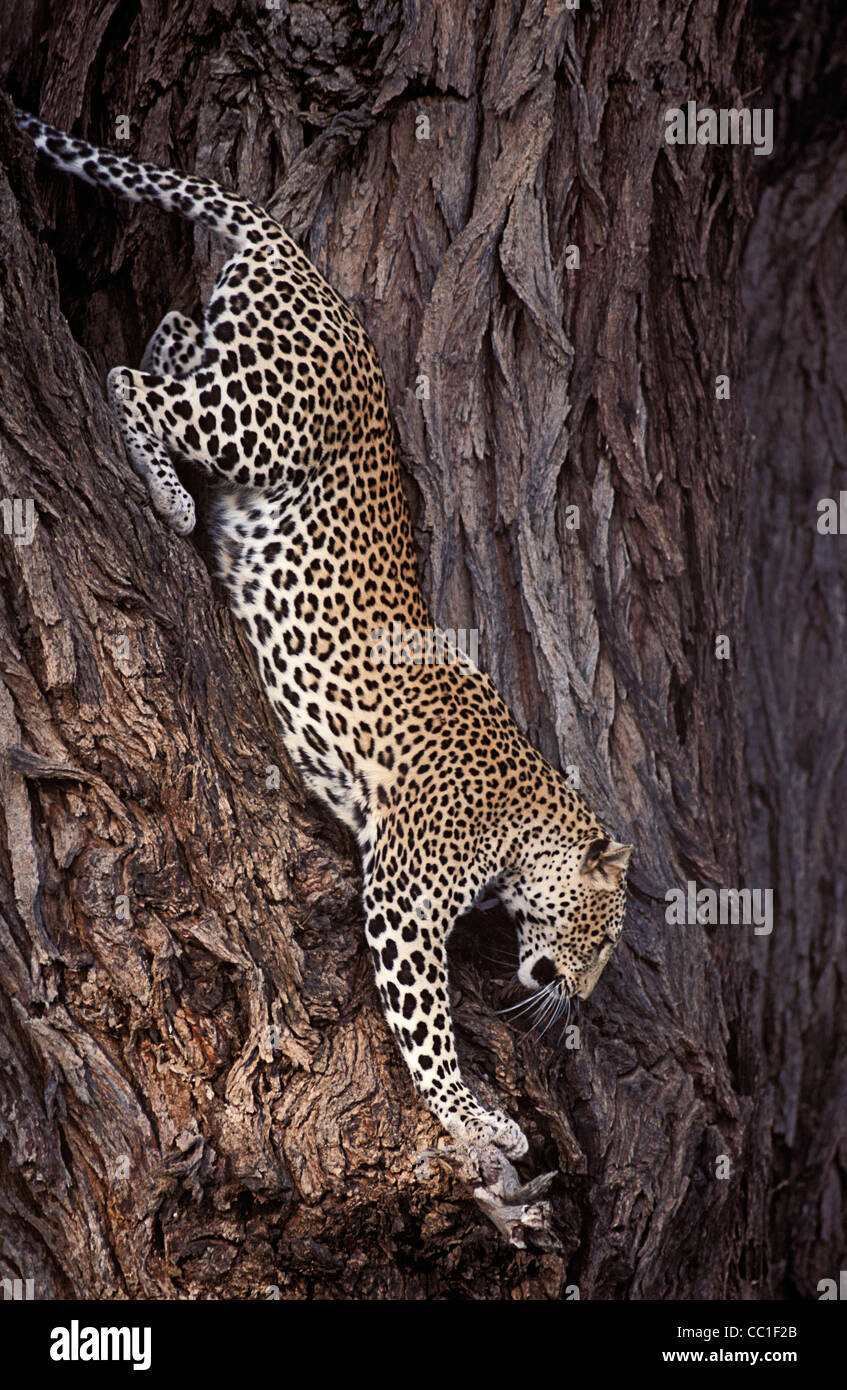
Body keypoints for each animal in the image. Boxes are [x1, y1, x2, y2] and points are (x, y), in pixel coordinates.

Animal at [14, 108, 633, 1160]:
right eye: (597, 937)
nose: (583, 997)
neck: (527, 818)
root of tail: (299, 259)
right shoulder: (402, 897)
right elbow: (428, 1031)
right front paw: (478, 1121)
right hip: (262, 420)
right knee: (131, 381)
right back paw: (173, 498)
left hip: (233, 367)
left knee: (171, 335)